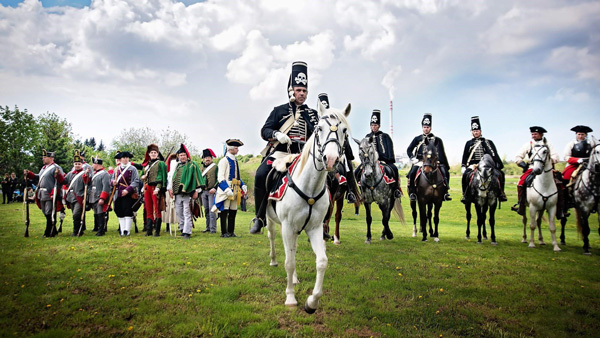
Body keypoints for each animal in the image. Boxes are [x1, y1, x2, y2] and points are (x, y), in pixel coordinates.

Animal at [268, 101, 352, 312]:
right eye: (318, 128)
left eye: (344, 130)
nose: (331, 159)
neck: (310, 187)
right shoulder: (288, 227)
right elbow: (289, 263)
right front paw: (290, 298)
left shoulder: (314, 228)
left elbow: (322, 262)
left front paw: (312, 302)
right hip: (270, 220)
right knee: (272, 238)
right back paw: (273, 260)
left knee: (293, 249)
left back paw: (294, 279)